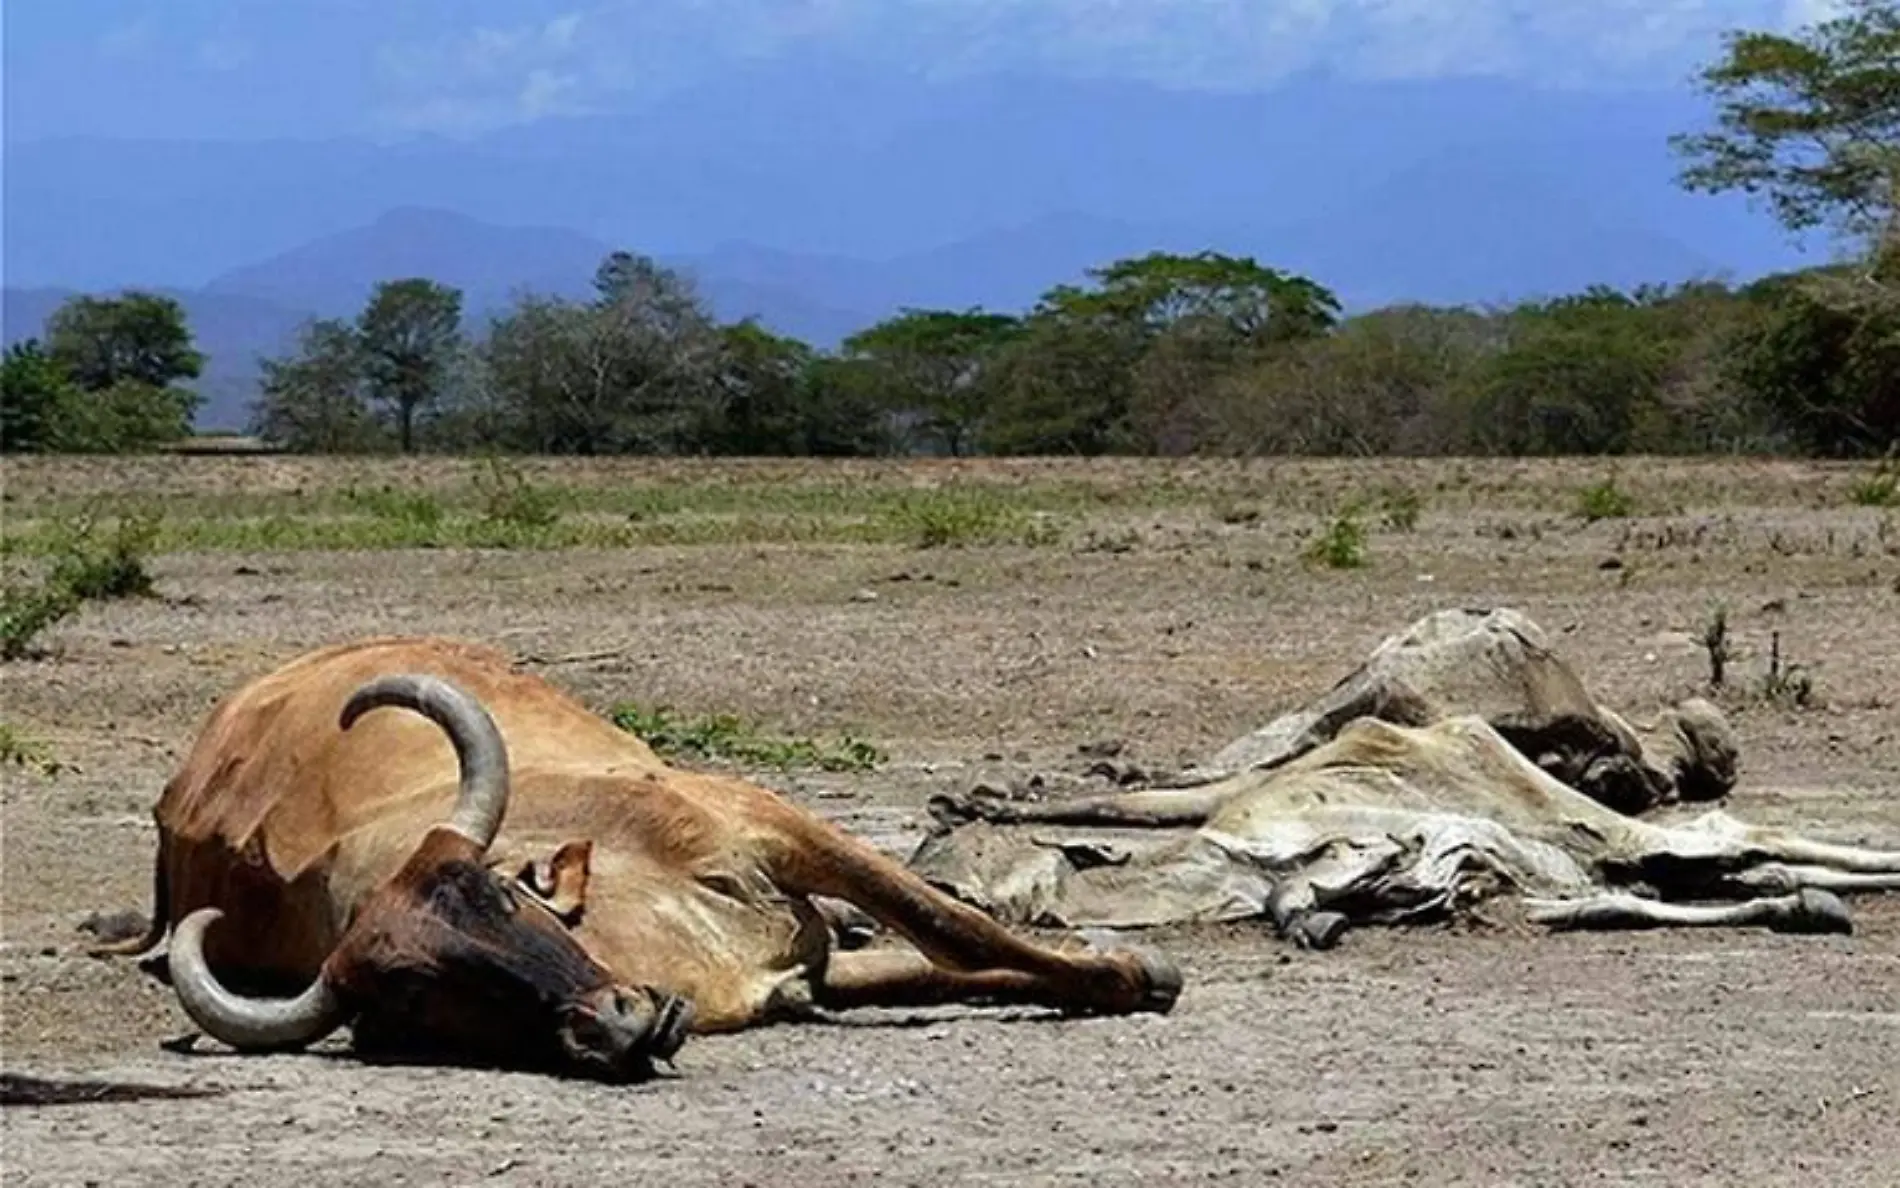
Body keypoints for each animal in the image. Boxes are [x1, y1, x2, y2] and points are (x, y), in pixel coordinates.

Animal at [104, 634, 1178, 1079]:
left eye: (502, 899)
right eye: (412, 994)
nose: (617, 1022)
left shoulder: (777, 827)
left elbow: (954, 928)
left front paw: (1132, 972)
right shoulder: (805, 982)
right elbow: (945, 962)